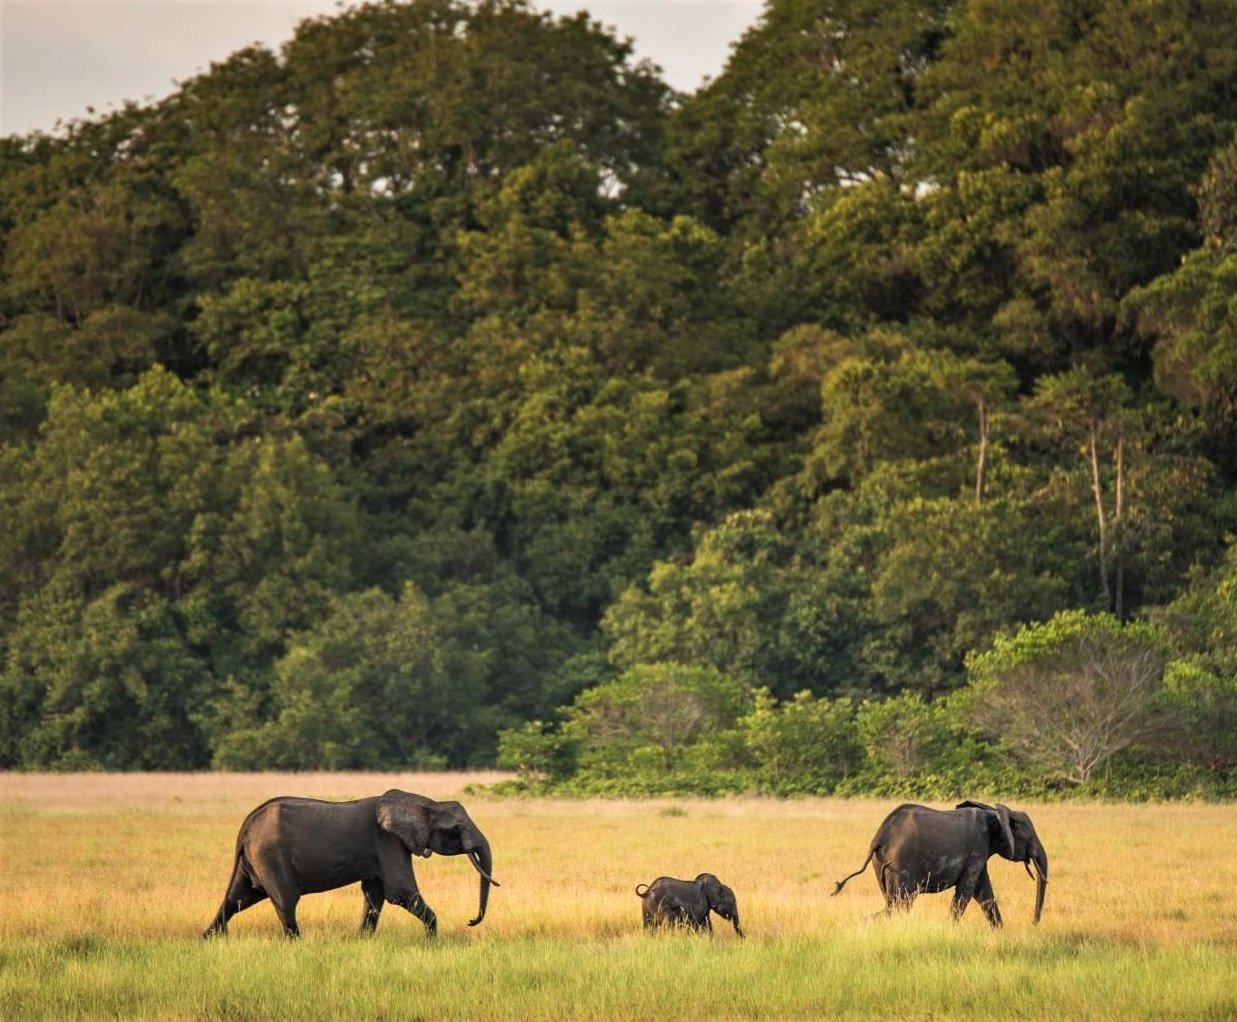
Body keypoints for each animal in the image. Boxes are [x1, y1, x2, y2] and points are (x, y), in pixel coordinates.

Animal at [202, 786, 497, 940]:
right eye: (456, 829)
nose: (470, 921)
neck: (424, 802)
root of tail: (246, 825)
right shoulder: (388, 841)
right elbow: (400, 892)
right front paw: (431, 942)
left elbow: (375, 894)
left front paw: (363, 940)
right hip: (270, 854)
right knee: (285, 900)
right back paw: (297, 944)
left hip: (254, 858)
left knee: (237, 899)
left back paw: (207, 939)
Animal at [831, 796, 1044, 925]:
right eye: (1031, 837)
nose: (1033, 923)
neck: (993, 815)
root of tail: (878, 839)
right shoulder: (977, 849)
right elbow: (966, 892)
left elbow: (984, 893)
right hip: (899, 864)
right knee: (901, 904)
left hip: (881, 864)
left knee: (892, 903)